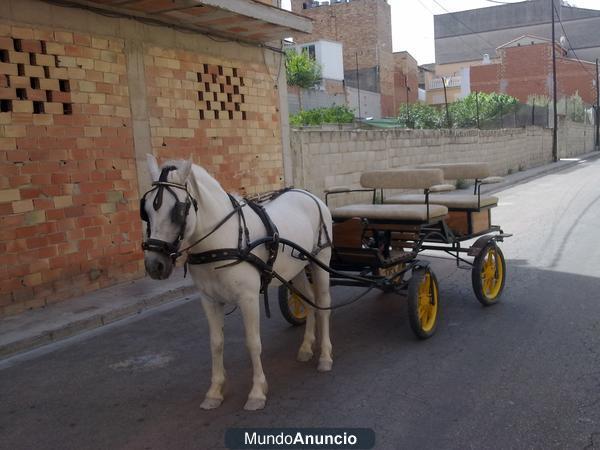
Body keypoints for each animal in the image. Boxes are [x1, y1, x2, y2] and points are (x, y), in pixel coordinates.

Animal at [144, 155, 336, 412]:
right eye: (145, 210)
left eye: (178, 211)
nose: (154, 265)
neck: (221, 240)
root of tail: (308, 194)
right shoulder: (209, 300)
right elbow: (216, 343)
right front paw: (215, 391)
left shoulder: (248, 298)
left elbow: (253, 343)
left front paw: (257, 392)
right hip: (295, 269)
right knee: (310, 302)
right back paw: (306, 347)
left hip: (320, 260)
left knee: (323, 305)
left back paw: (325, 356)